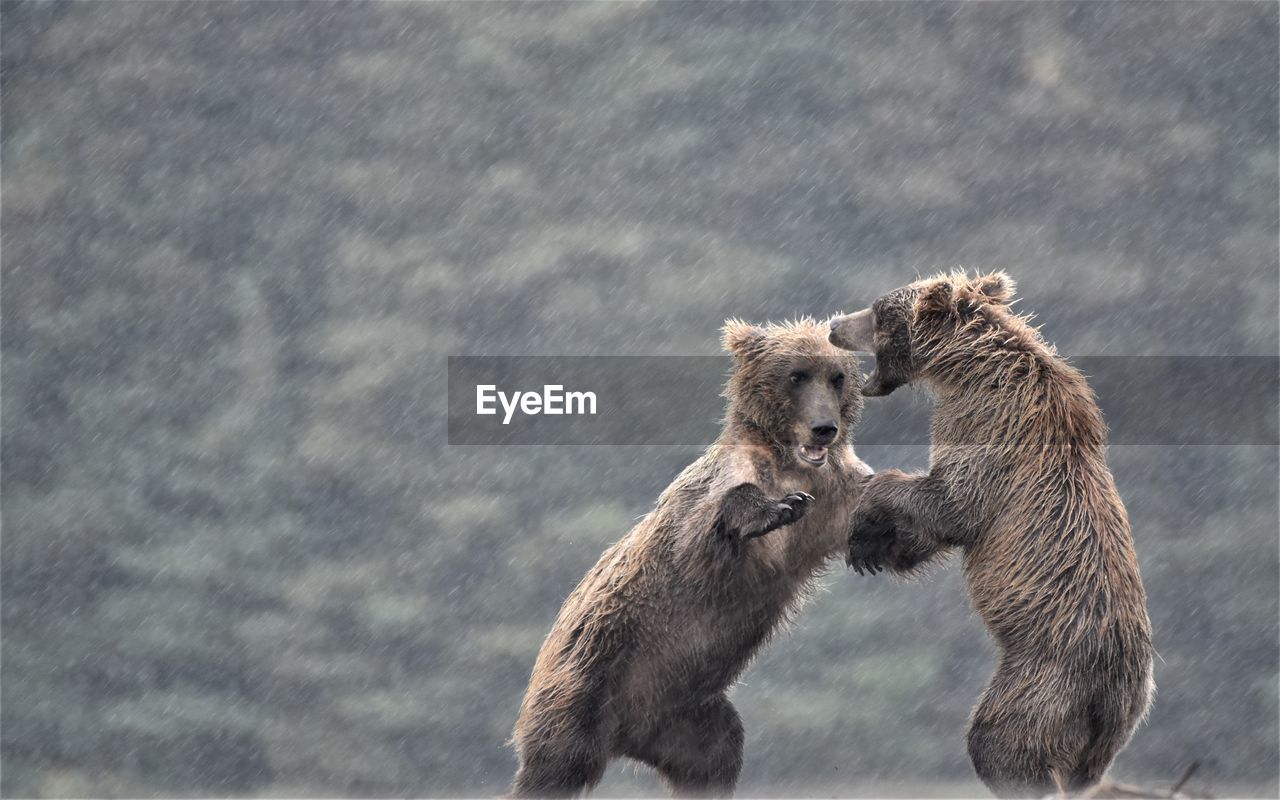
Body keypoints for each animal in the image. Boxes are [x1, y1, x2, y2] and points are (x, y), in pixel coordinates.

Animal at [509, 316, 870, 793]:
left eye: (837, 377)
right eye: (796, 375)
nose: (823, 426)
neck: (790, 463)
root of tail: (627, 737)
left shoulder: (837, 495)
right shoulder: (713, 500)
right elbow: (708, 524)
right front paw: (778, 508)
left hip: (692, 716)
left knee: (716, 758)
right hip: (583, 685)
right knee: (554, 766)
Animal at [824, 271, 1157, 793]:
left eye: (877, 311)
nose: (834, 325)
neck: (965, 370)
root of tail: (1116, 691)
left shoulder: (992, 428)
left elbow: (951, 503)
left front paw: (866, 530)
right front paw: (879, 550)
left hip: (1045, 680)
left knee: (1000, 741)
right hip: (1108, 727)